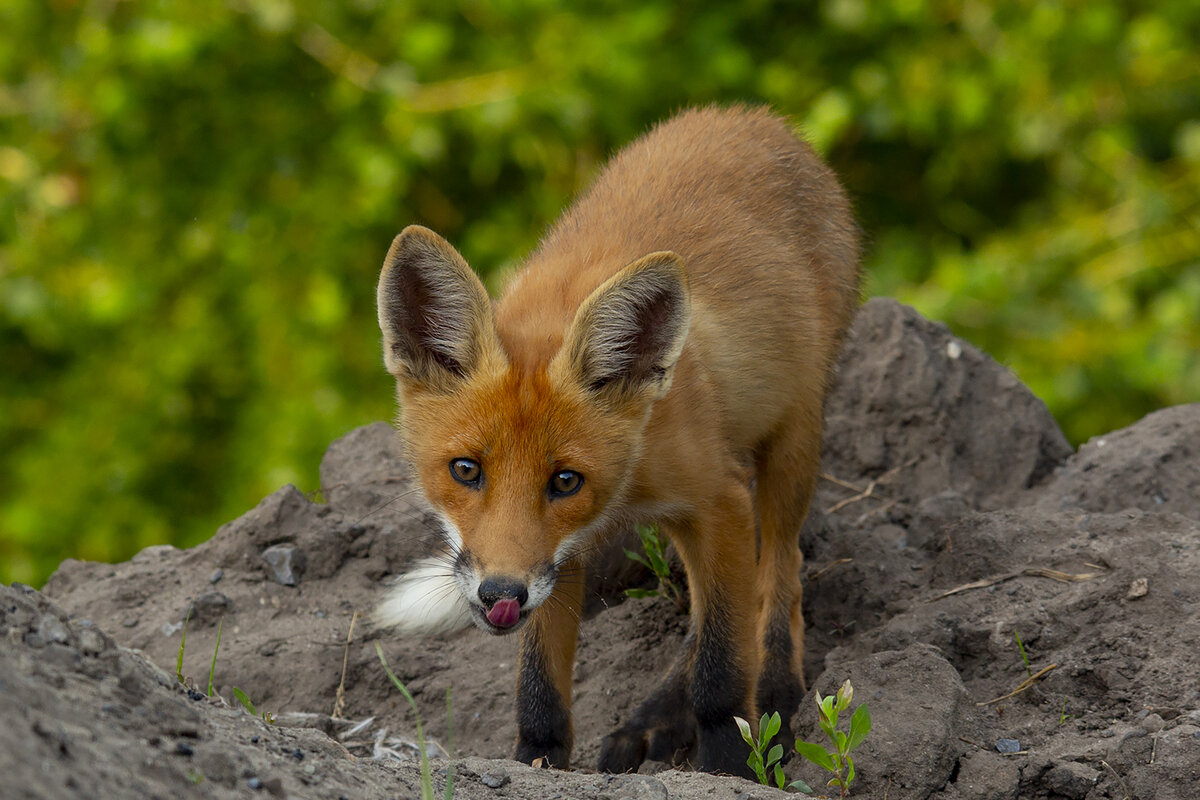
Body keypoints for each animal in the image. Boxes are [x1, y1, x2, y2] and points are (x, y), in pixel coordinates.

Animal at [376, 106, 864, 777]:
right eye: (466, 470)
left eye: (564, 479)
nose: (500, 594)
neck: (628, 482)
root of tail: (753, 118)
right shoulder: (556, 554)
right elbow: (540, 686)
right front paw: (537, 761)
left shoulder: (717, 500)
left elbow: (722, 666)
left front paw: (730, 764)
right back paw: (654, 720)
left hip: (791, 442)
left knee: (778, 579)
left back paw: (775, 697)